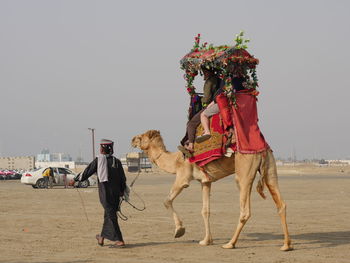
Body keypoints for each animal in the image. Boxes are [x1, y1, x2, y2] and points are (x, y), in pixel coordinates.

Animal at [130, 130, 292, 252]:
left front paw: (179, 230)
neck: (175, 161)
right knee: (281, 204)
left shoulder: (183, 178)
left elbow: (167, 200)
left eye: (141, 137)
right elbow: (205, 210)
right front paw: (206, 240)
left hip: (244, 171)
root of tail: (261, 149)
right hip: (270, 168)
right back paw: (286, 245)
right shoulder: (205, 182)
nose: (132, 140)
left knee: (245, 209)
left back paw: (230, 243)